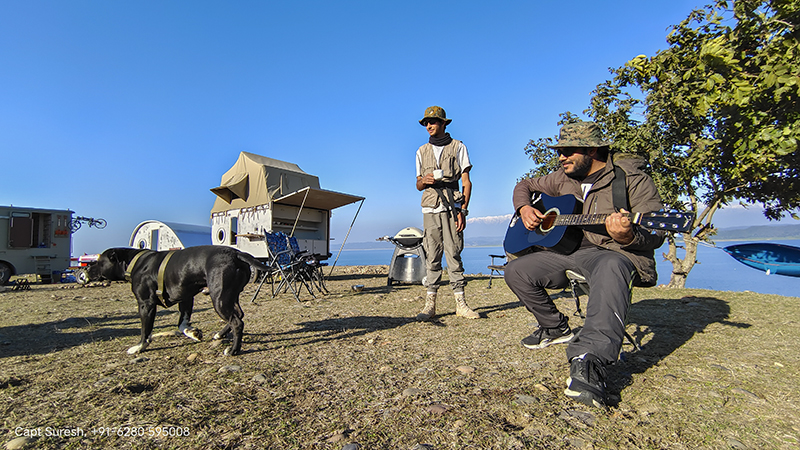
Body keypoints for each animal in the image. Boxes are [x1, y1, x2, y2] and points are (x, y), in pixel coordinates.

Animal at [88, 246, 266, 356]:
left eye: (99, 262)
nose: (87, 268)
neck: (133, 262)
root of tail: (237, 253)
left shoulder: (146, 304)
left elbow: (146, 330)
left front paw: (139, 347)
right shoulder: (185, 298)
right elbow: (182, 323)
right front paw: (192, 332)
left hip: (219, 298)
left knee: (237, 322)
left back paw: (234, 350)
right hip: (229, 296)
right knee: (238, 315)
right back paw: (220, 335)